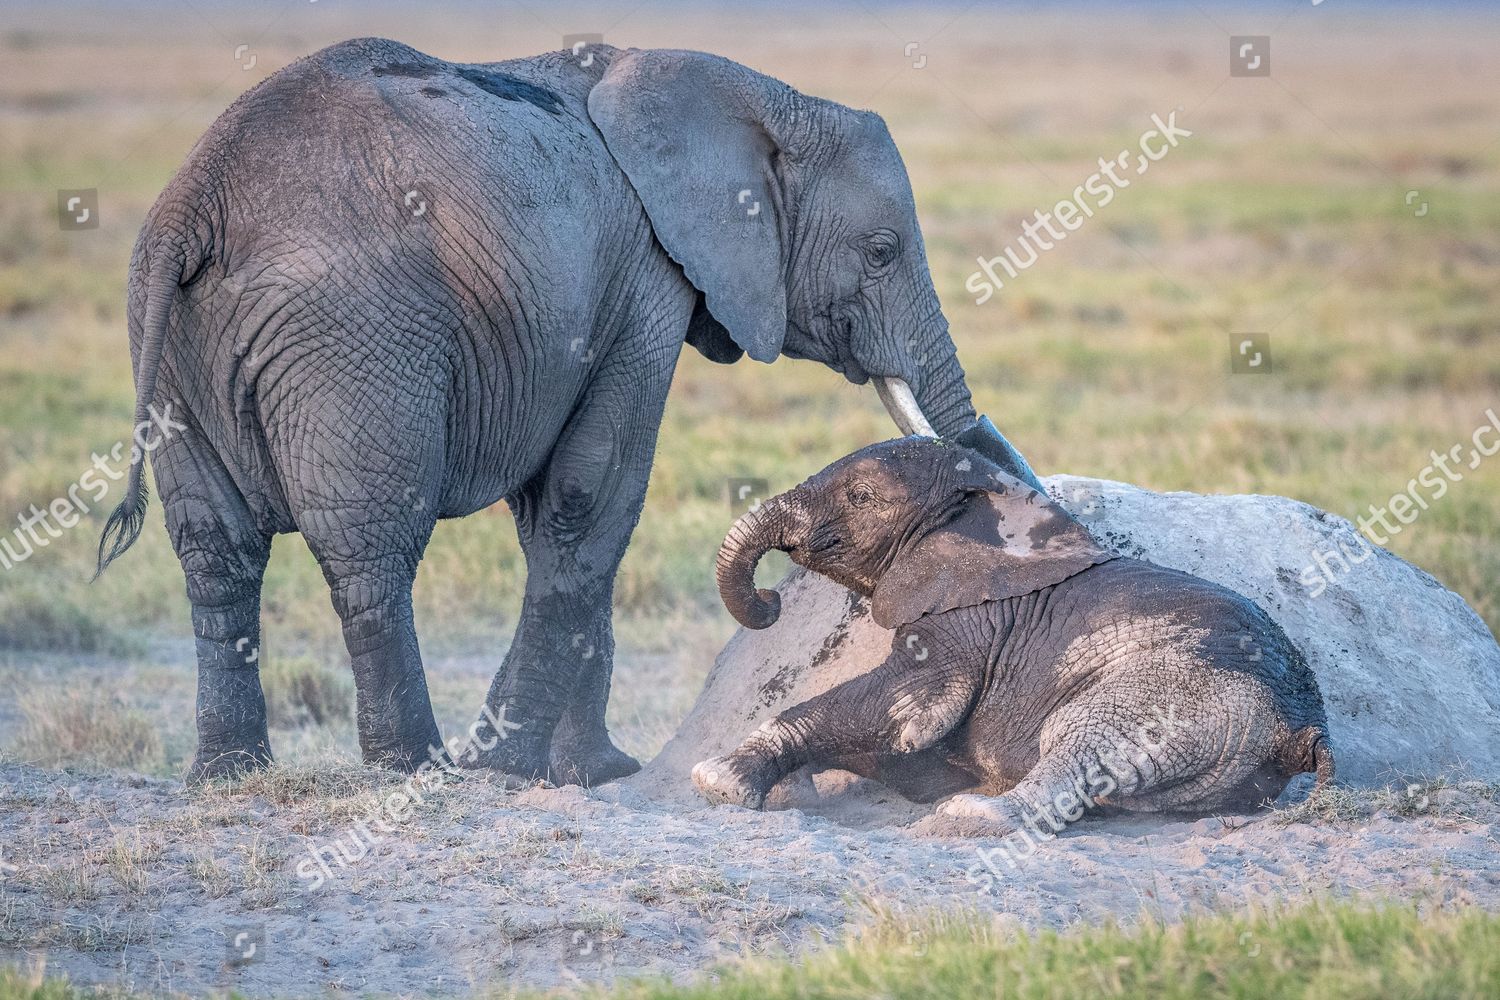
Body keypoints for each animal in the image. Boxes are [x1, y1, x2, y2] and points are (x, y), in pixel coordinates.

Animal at [93, 37, 1044, 784]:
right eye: (880, 252)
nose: (773, 602)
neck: (758, 93)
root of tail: (195, 203)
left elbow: (554, 509)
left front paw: (593, 773)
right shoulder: (647, 278)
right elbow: (599, 492)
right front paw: (509, 770)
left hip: (168, 344)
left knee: (215, 551)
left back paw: (226, 774)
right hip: (352, 340)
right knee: (372, 549)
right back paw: (414, 769)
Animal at [692, 437, 1335, 836]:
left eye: (863, 498)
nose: (770, 601)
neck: (994, 497)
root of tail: (1301, 728)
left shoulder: (969, 627)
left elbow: (902, 707)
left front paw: (720, 779)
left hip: (1178, 690)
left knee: (1079, 740)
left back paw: (971, 816)